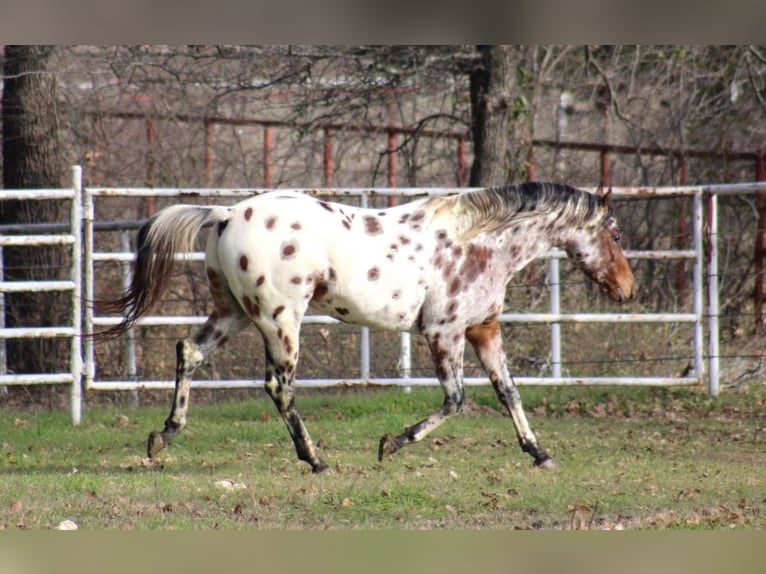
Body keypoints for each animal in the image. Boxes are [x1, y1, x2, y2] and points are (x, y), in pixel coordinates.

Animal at [97, 182, 636, 474]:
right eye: (614, 233)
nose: (627, 289)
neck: (478, 242)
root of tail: (228, 213)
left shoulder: (484, 329)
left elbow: (509, 393)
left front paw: (539, 453)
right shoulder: (442, 332)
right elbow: (456, 400)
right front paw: (389, 445)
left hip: (232, 311)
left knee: (189, 351)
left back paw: (163, 436)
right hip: (280, 320)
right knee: (278, 386)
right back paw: (314, 459)